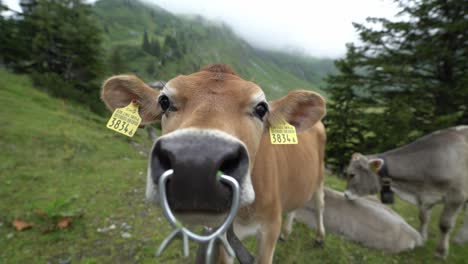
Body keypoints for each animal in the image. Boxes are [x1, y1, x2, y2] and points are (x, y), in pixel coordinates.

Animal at [344, 126, 468, 258]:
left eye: (352, 174)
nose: (345, 194)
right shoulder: (426, 198)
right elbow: (423, 218)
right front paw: (422, 239)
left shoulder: (457, 196)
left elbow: (445, 224)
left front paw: (441, 252)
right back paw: (460, 239)